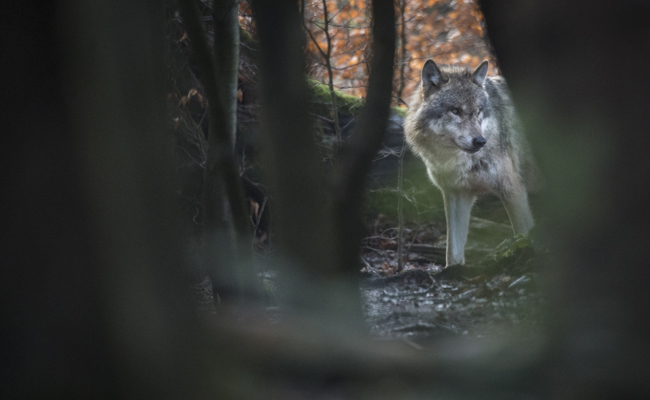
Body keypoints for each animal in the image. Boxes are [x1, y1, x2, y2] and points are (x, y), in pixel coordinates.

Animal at [404, 59, 540, 266]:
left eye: (478, 111)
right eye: (455, 111)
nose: (480, 141)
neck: (456, 161)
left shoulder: (512, 189)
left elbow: (523, 234)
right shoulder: (456, 194)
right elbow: (453, 251)